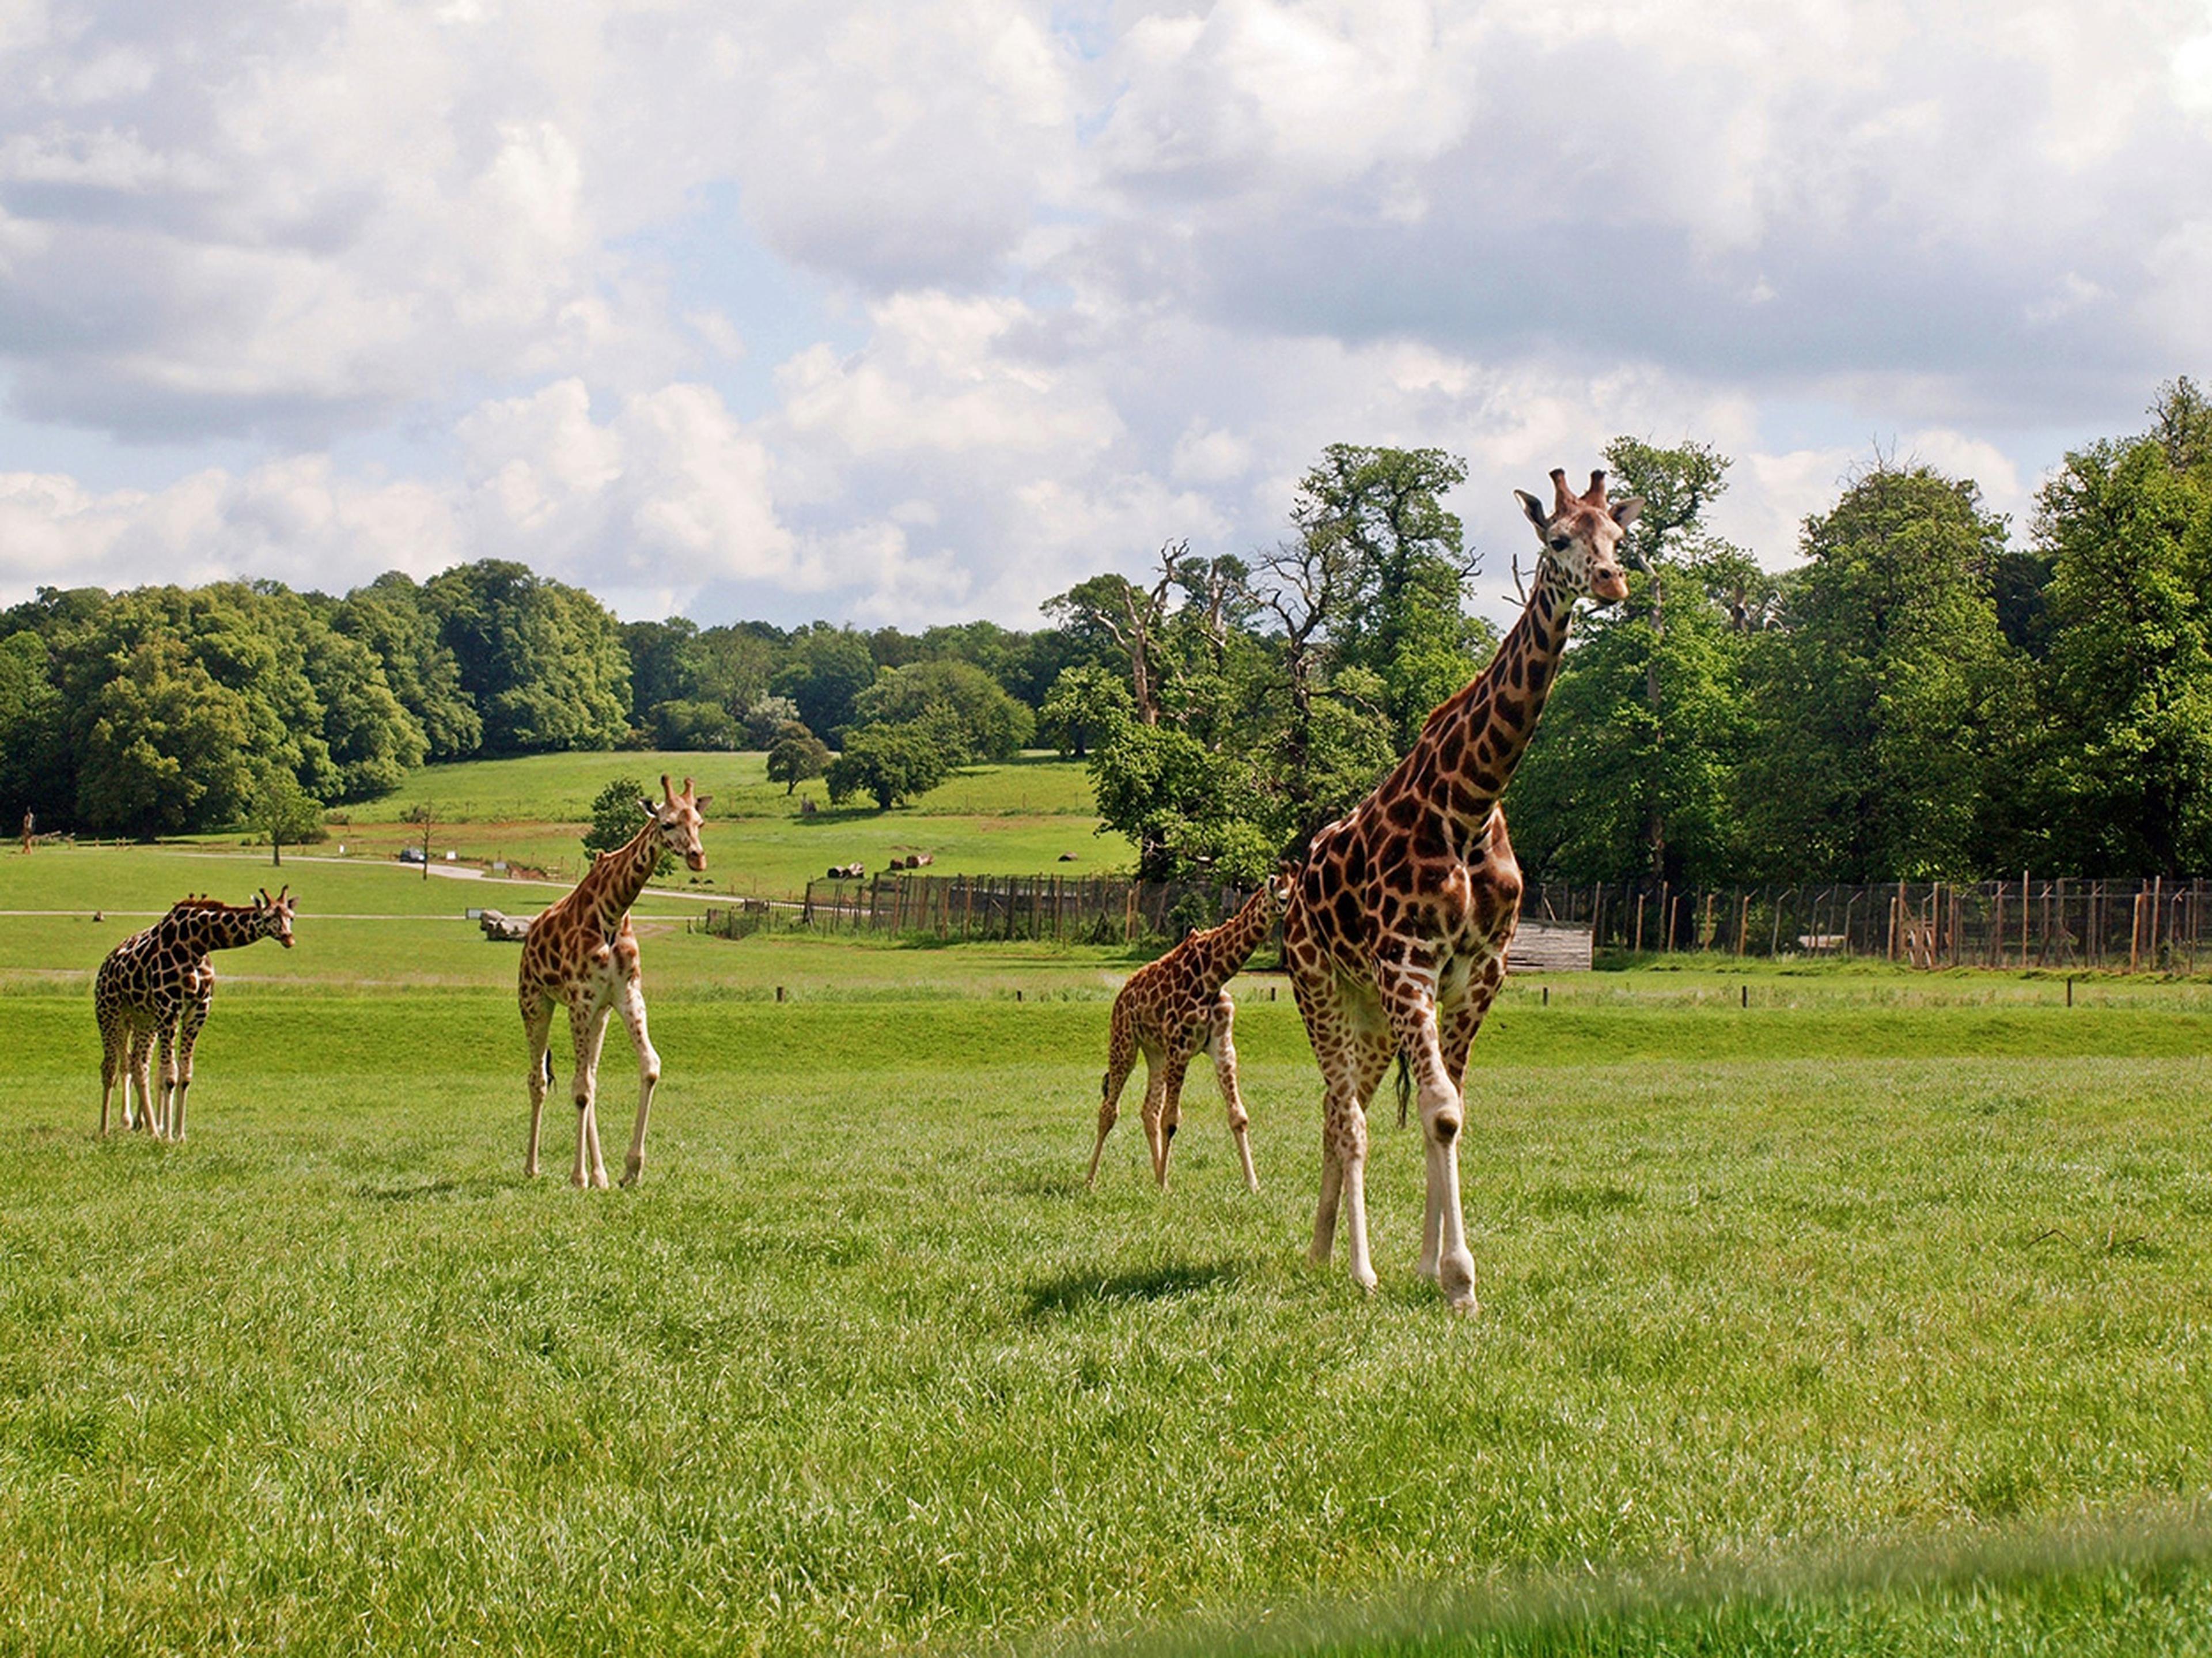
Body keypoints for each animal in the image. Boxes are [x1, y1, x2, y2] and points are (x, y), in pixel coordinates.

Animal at [95, 888, 297, 1141]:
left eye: (292, 917)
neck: (198, 944)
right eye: (268, 917)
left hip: (144, 1018)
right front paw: (169, 1137)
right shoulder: (169, 1007)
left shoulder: (198, 1010)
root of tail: (106, 964)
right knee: (111, 1066)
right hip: (109, 1009)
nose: (289, 938)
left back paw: (151, 1130)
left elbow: (185, 1074)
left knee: (138, 1065)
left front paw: (179, 1135)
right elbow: (169, 1075)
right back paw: (107, 1129)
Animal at [518, 774, 709, 1189]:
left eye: (700, 823)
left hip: (599, 1014)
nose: (697, 857)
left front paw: (630, 1170)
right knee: (539, 1080)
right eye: (666, 823)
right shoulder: (579, 999)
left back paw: (600, 1174)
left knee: (589, 1077)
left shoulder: (625, 995)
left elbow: (648, 1067)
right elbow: (578, 1090)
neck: (612, 911)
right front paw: (577, 1178)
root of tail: (530, 934)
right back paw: (533, 1168)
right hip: (535, 1000)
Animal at [1087, 869, 1296, 1192]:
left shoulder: (1223, 1048)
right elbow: (1172, 1120)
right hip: (1125, 1043)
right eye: (1283, 898)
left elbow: (1238, 1116)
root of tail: (1123, 994)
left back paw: (1154, 1175)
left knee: (1149, 1109)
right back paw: (1091, 1180)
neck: (1214, 974)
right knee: (1109, 1110)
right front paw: (1165, 1186)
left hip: (1156, 1053)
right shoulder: (1180, 1048)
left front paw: (1253, 1185)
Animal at [1283, 468, 1640, 1310]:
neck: (1469, 804)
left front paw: (1430, 1268)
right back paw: (1356, 1268)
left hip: (1369, 1009)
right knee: (1345, 1113)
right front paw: (1457, 1280)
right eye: (1558, 540)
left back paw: (1321, 1252)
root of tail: (1293, 881)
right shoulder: (1409, 965)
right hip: (1319, 984)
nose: (1613, 582)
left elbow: (1449, 1110)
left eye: (1620, 536)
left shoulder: (1480, 970)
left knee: (1342, 1108)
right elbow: (1441, 1111)